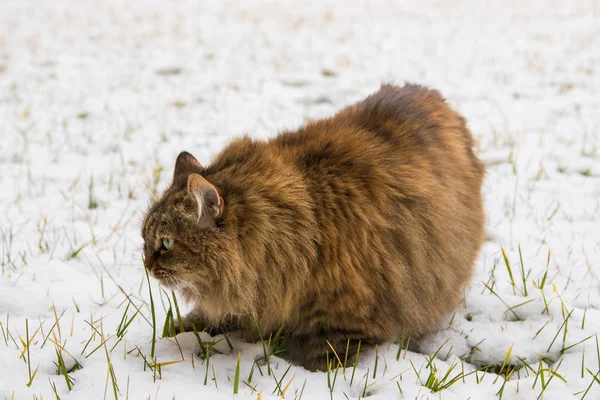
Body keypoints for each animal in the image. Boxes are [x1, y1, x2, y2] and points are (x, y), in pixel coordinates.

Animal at [142, 83, 488, 372]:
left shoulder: (345, 323)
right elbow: (191, 322)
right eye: (145, 238)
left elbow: (320, 359)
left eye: (166, 244)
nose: (146, 264)